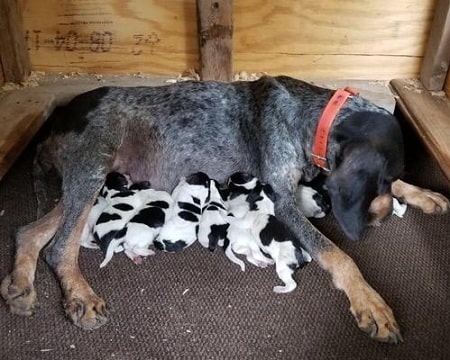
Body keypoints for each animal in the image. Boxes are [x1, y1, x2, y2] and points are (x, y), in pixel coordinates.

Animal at [1, 75, 448, 344]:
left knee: (29, 232)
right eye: (377, 182)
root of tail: (56, 119)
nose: (382, 217)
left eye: (389, 178)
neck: (314, 117)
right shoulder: (285, 202)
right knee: (59, 246)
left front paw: (424, 193)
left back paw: (21, 287)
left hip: (91, 183)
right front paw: (370, 302)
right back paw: (79, 295)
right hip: (94, 164)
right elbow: (339, 255)